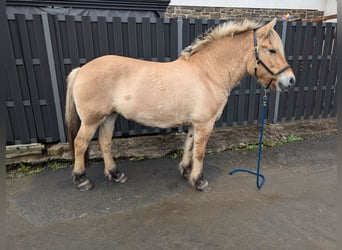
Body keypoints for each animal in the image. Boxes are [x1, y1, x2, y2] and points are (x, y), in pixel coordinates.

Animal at [65, 19, 296, 191]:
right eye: (271, 50)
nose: (290, 80)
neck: (208, 72)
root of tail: (81, 69)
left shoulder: (196, 123)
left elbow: (189, 145)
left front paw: (186, 172)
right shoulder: (205, 123)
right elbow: (200, 152)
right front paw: (199, 180)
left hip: (109, 117)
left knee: (105, 144)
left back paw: (115, 174)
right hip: (91, 120)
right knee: (80, 144)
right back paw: (81, 179)